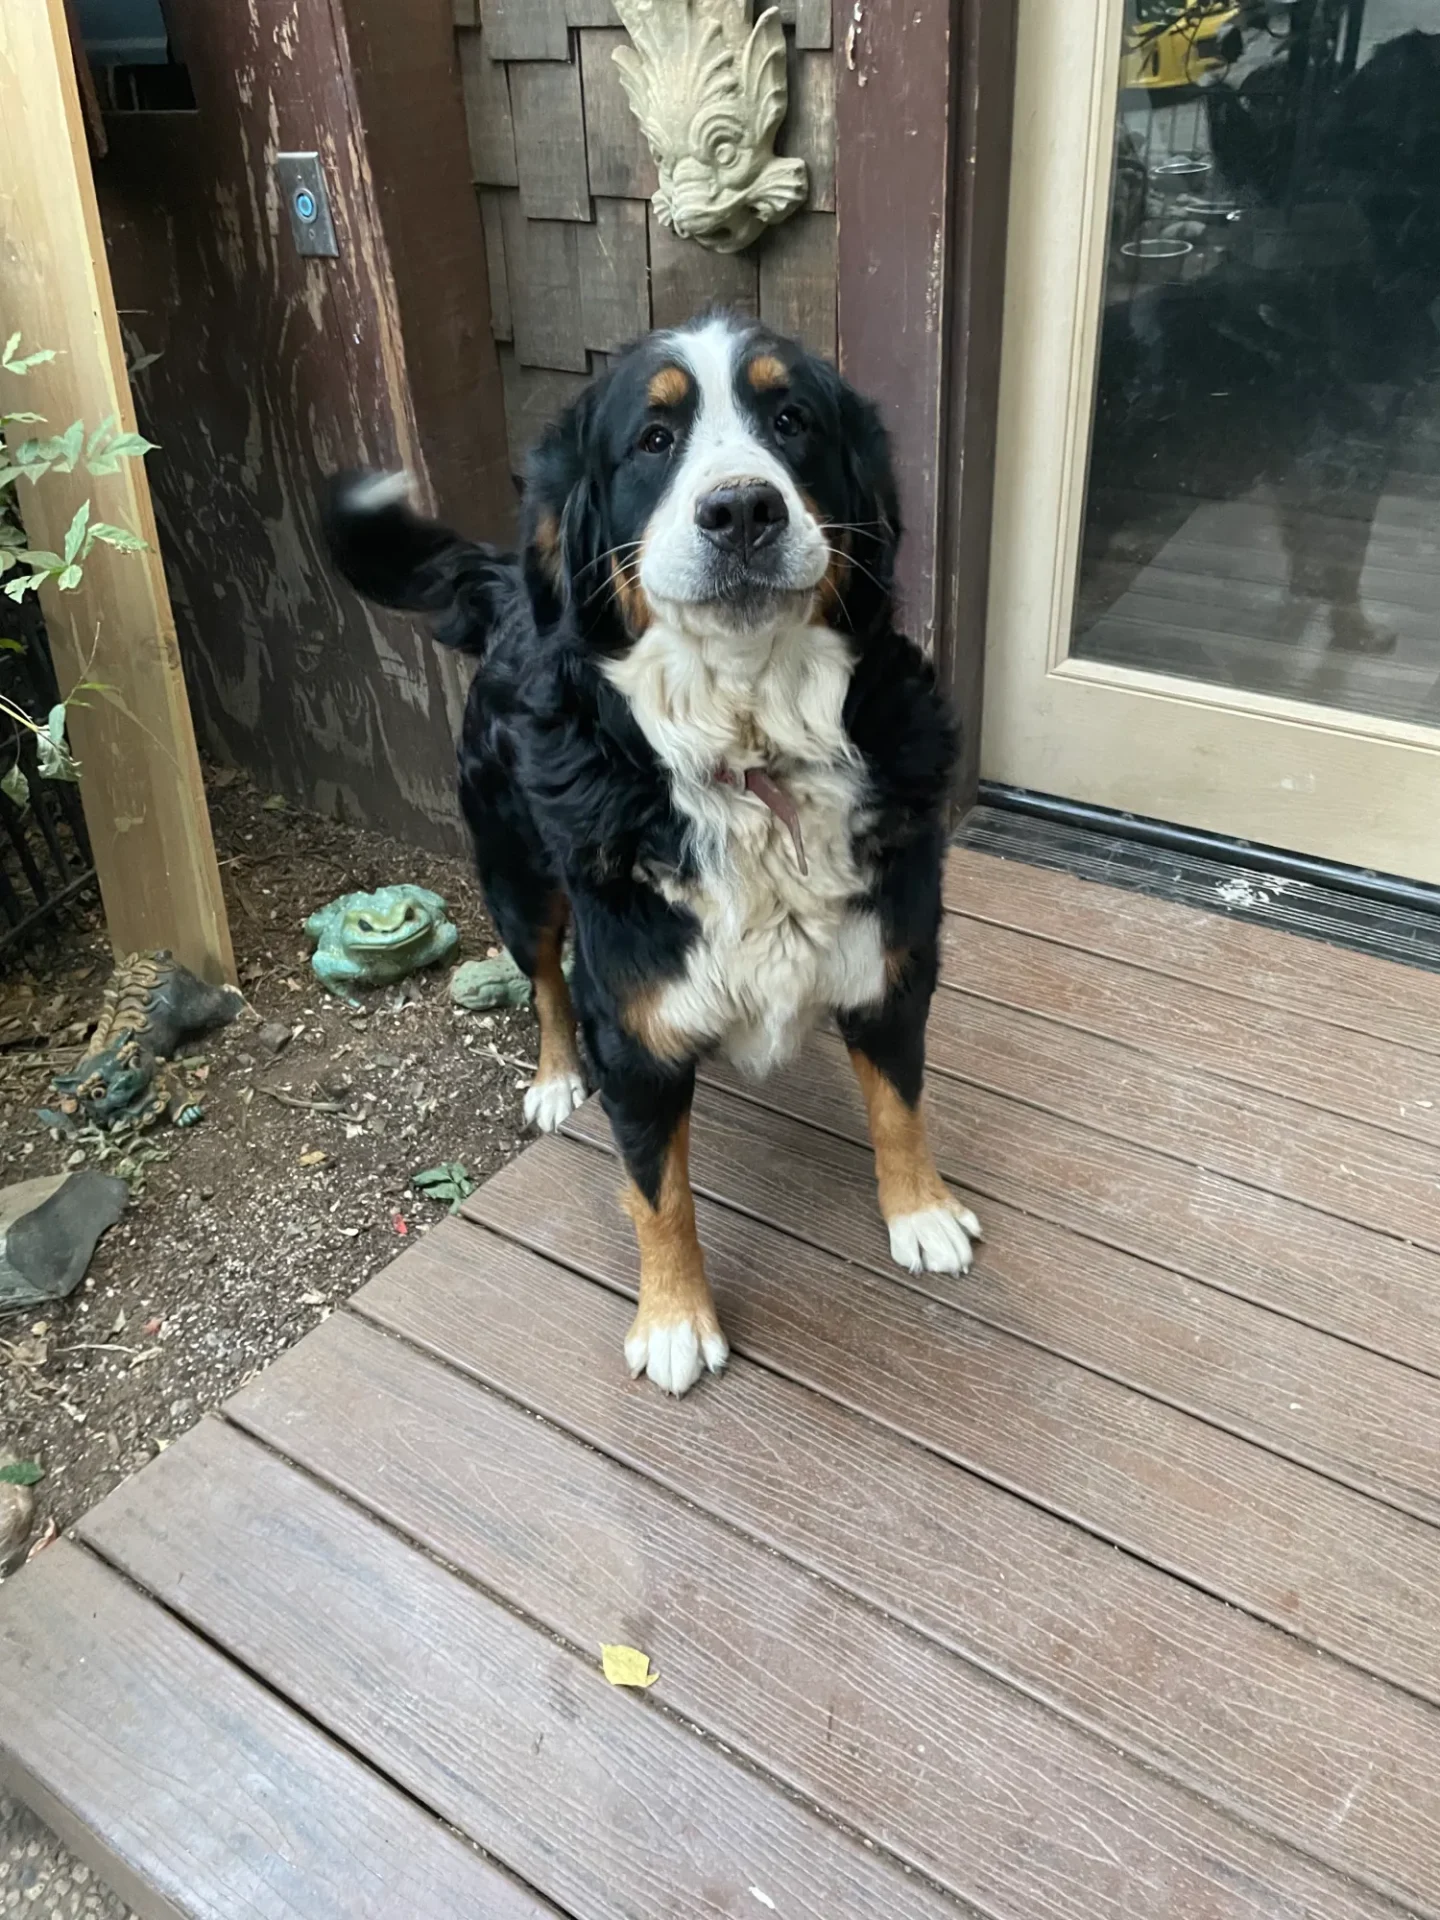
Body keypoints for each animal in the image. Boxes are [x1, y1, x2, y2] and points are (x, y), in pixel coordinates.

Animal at [324, 311, 983, 1397]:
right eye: (654, 441)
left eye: (792, 420)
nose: (743, 509)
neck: (749, 748)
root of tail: (512, 587)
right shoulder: (633, 1026)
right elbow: (656, 1192)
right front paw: (674, 1319)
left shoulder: (893, 958)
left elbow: (900, 1101)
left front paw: (920, 1210)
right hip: (518, 880)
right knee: (545, 980)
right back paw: (555, 1080)